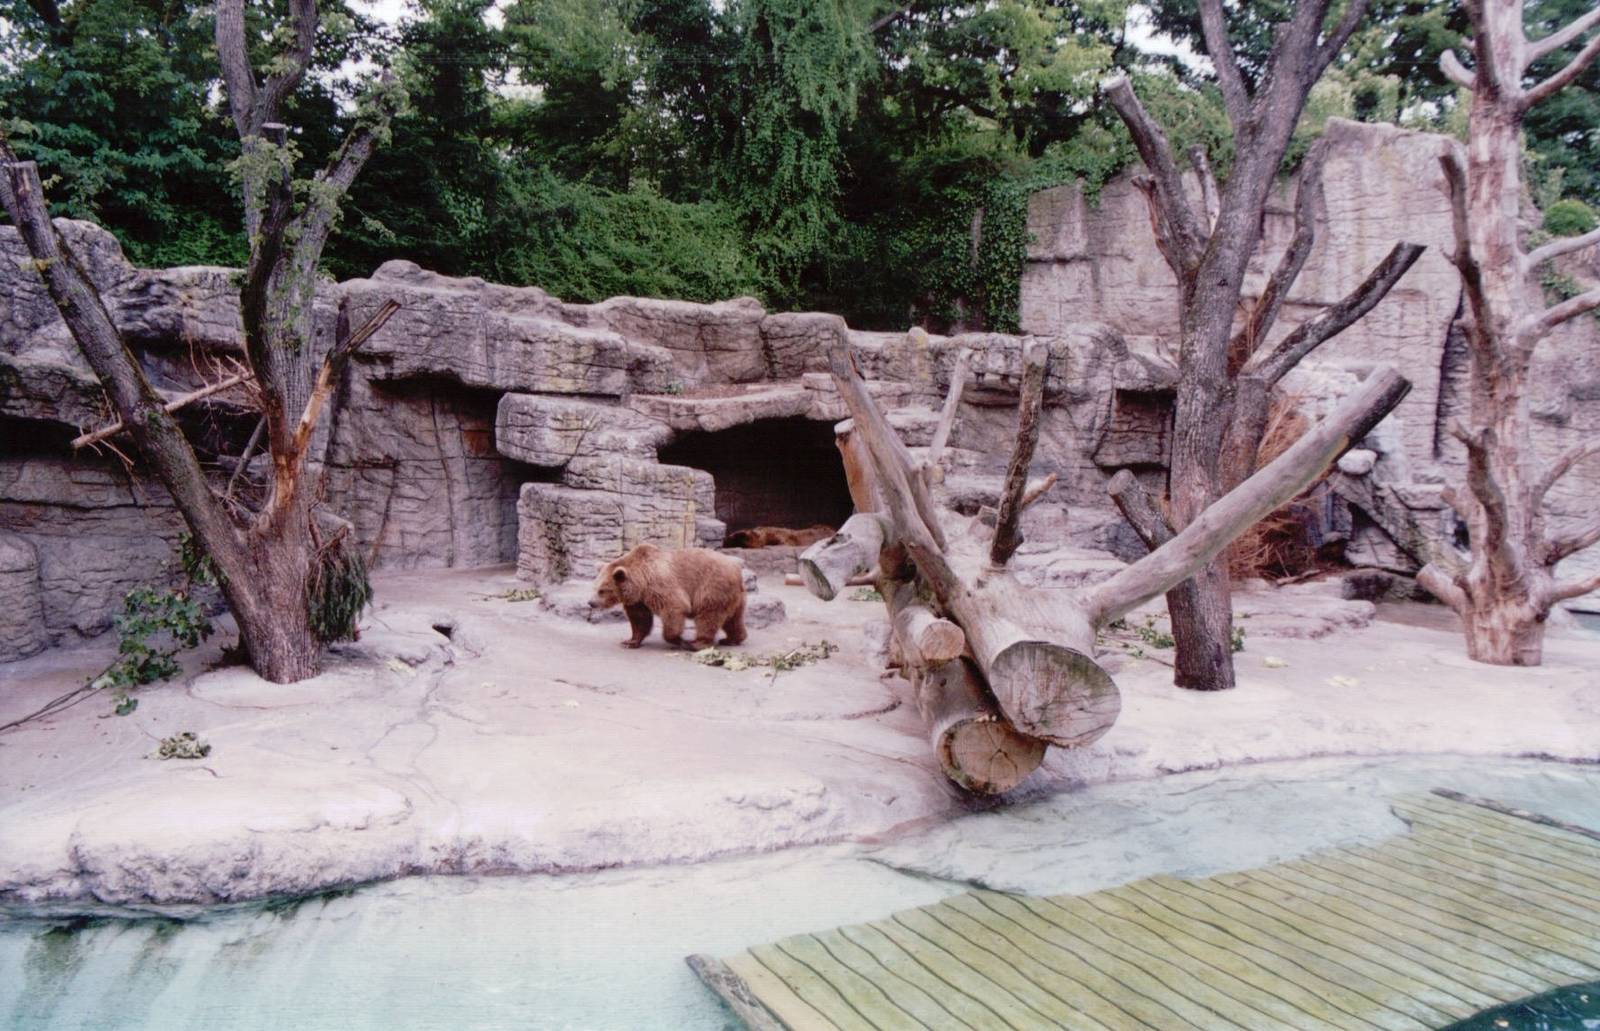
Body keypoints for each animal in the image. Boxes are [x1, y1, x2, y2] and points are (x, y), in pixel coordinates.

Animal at [589, 542, 747, 651]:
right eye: (594, 587)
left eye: (602, 590)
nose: (590, 603)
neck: (641, 582)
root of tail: (737, 569)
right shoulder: (638, 600)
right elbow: (640, 619)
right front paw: (630, 641)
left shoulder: (659, 585)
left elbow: (674, 607)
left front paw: (679, 640)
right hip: (734, 596)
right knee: (733, 618)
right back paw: (732, 639)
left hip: (712, 587)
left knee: (708, 616)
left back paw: (697, 643)